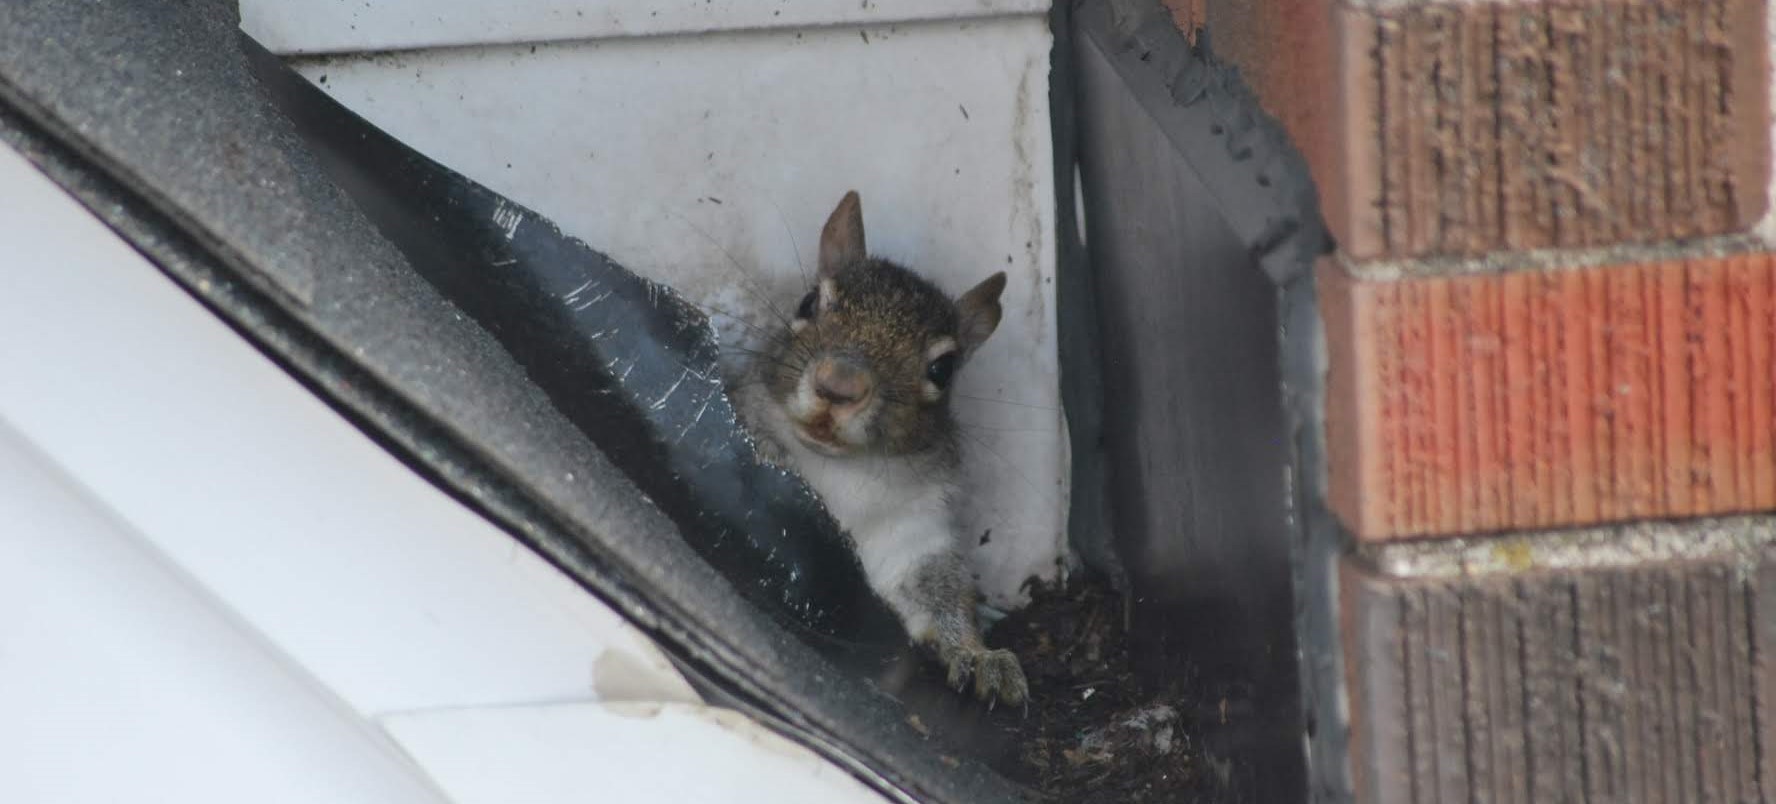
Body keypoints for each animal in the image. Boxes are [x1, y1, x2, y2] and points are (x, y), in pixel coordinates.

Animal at [733, 190, 1029, 706]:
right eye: (808, 302)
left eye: (943, 369)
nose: (838, 385)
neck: (840, 472)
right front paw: (770, 450)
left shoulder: (915, 535)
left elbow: (942, 595)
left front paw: (978, 655)